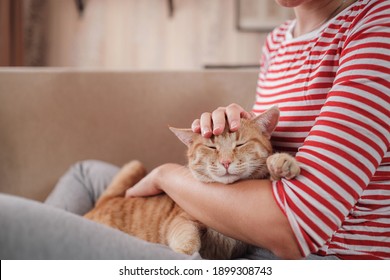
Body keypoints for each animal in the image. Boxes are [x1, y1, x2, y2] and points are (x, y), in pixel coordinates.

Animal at [84, 106, 298, 260]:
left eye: (240, 144)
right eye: (211, 147)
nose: (226, 162)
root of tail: (104, 203)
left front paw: (282, 162)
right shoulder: (181, 219)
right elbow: (186, 236)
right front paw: (185, 251)